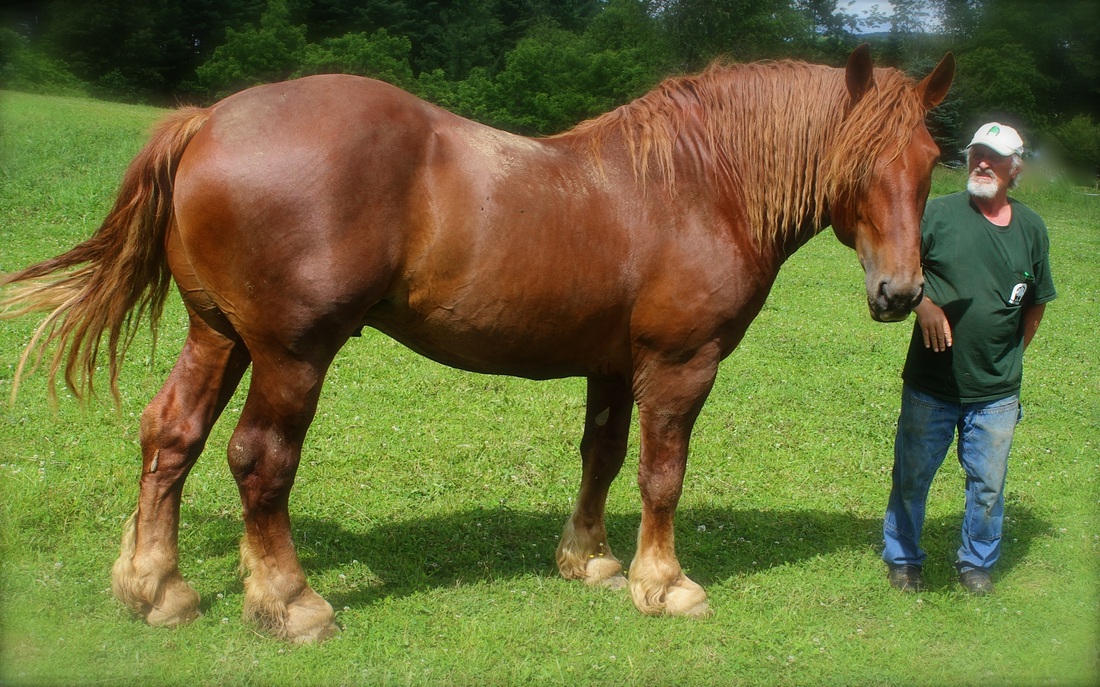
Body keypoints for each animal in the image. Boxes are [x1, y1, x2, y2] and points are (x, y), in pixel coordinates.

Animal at [1, 45, 953, 642]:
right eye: (862, 162)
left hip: (219, 335)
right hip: (291, 353)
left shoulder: (612, 365)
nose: (901, 294)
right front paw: (663, 582)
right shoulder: (679, 366)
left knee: (172, 435)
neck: (693, 183)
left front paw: (589, 560)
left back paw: (154, 587)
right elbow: (663, 474)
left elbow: (602, 456)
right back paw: (290, 601)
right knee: (259, 460)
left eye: (927, 165)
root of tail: (206, 120)